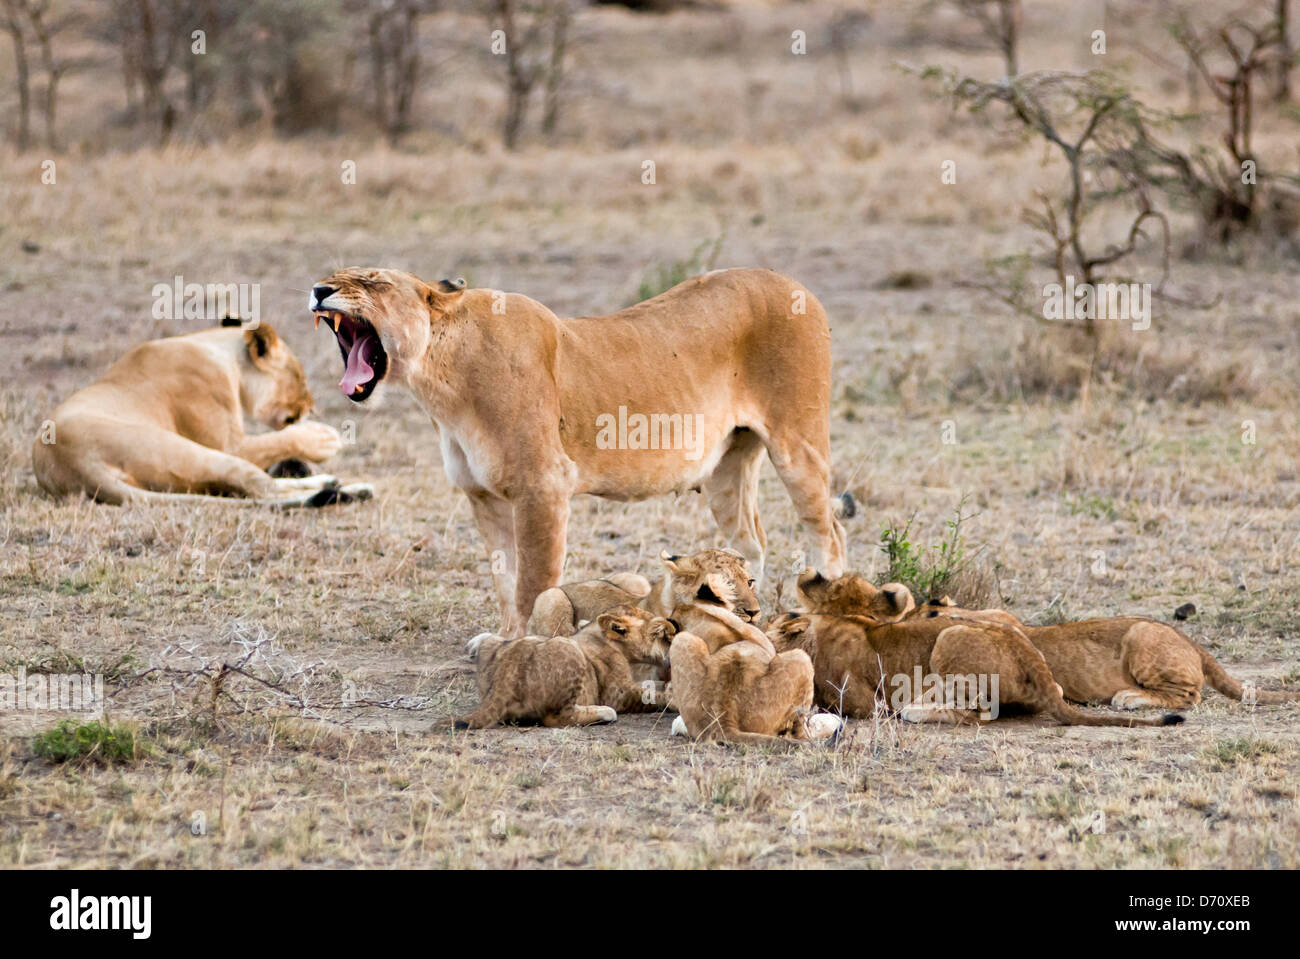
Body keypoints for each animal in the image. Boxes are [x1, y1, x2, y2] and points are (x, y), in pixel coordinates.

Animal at [32, 321, 371, 507]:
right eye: (299, 378)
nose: (311, 406)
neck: (215, 348)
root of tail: (76, 468)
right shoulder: (228, 442)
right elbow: (277, 440)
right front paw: (323, 439)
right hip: (191, 453)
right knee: (259, 489)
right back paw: (347, 489)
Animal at [309, 267, 847, 635]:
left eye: (372, 281)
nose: (317, 291)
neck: (440, 381)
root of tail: (793, 283)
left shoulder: (543, 487)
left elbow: (533, 582)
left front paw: (525, 646)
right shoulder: (483, 497)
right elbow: (505, 579)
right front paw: (503, 637)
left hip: (797, 444)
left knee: (829, 533)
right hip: (727, 468)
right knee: (750, 543)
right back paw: (740, 617)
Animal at [455, 605, 676, 729]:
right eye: (658, 631)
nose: (674, 633)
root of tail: (504, 679)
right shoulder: (617, 693)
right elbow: (652, 695)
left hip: (491, 643)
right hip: (570, 650)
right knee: (556, 718)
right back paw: (602, 713)